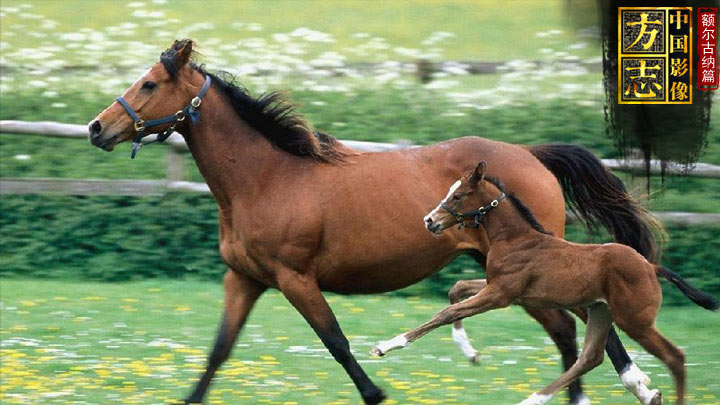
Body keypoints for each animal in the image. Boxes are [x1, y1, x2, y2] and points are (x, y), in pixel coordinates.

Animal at [88, 39, 663, 404]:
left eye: (149, 84)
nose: (96, 128)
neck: (267, 178)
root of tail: (532, 154)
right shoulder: (245, 279)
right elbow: (218, 351)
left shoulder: (296, 278)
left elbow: (337, 343)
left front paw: (377, 391)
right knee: (573, 330)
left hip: (533, 269)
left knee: (580, 328)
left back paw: (634, 387)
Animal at [372, 161, 719, 405]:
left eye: (457, 195)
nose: (429, 221)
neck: (515, 237)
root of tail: (650, 266)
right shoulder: (502, 289)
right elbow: (456, 291)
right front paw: (468, 350)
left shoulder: (500, 294)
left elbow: (445, 313)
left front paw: (386, 345)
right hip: (601, 312)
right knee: (590, 358)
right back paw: (532, 398)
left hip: (634, 320)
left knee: (675, 357)